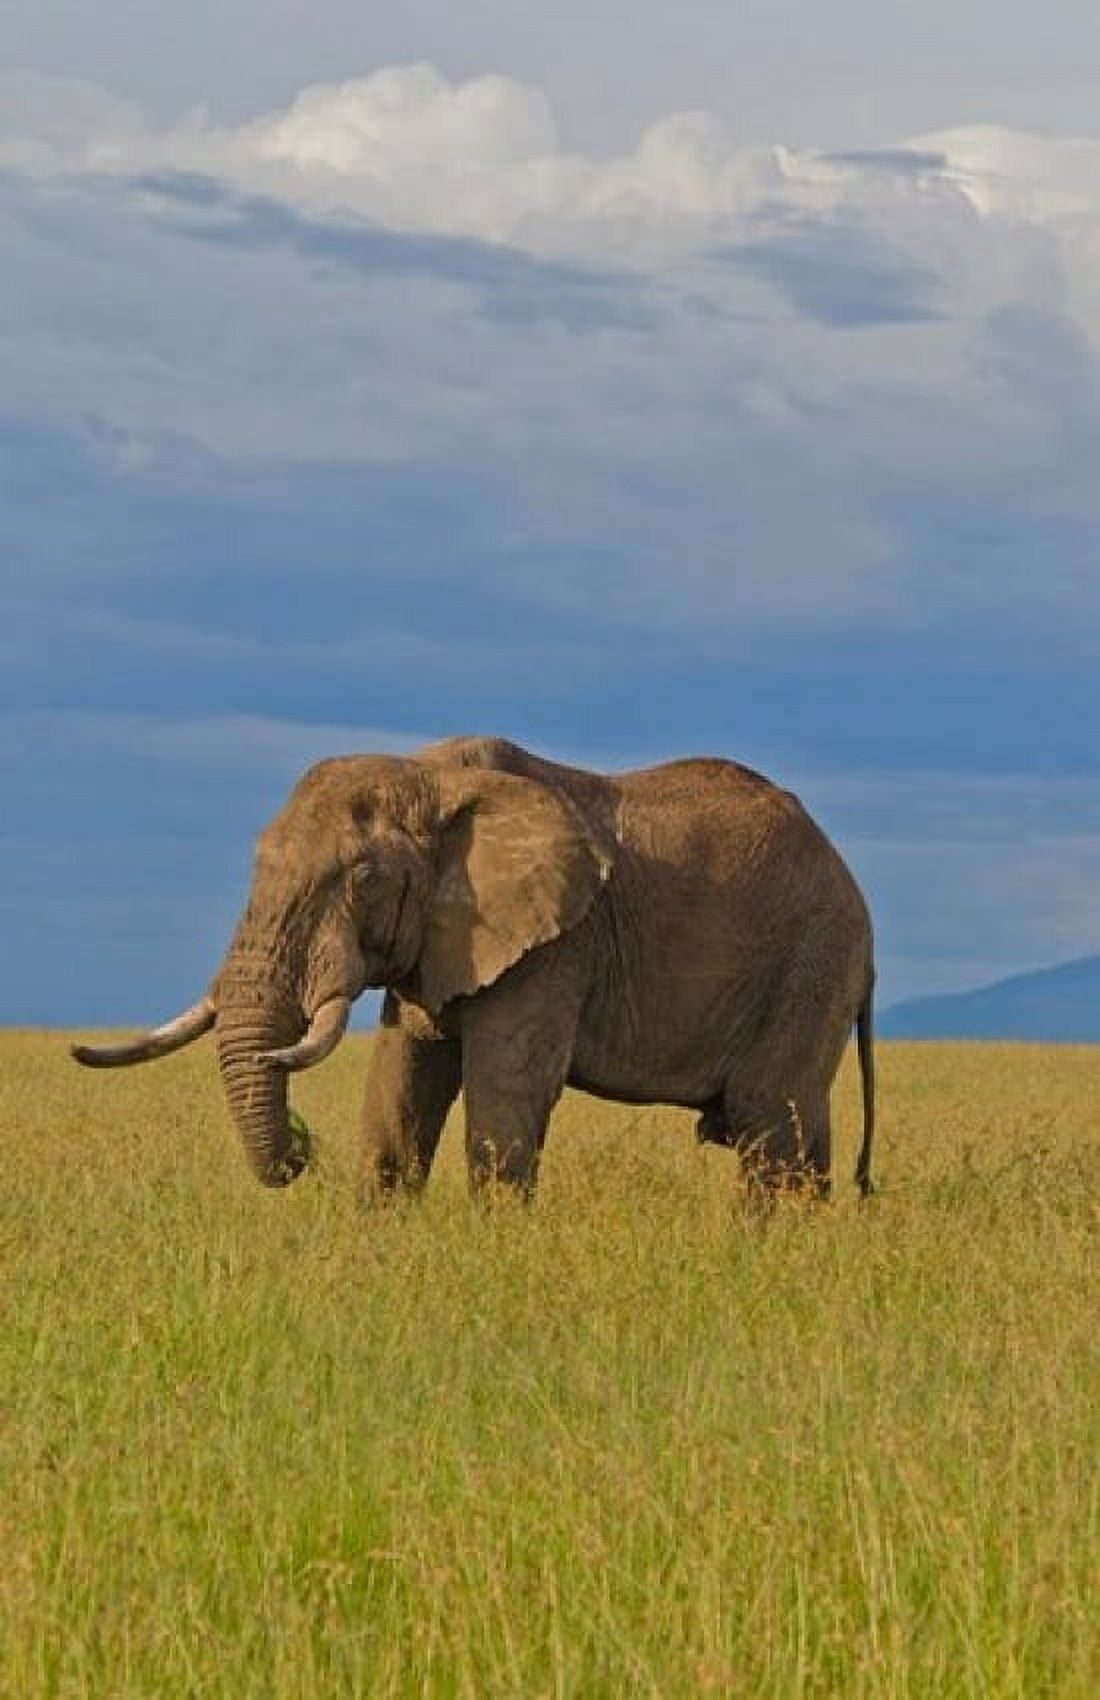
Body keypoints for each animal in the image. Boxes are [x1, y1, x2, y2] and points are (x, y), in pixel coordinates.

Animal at [73, 735, 876, 1200]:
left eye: (362, 878)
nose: (301, 1151)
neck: (428, 777)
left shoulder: (556, 943)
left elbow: (504, 1099)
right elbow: (399, 1093)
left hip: (813, 960)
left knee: (769, 1129)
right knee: (800, 1137)